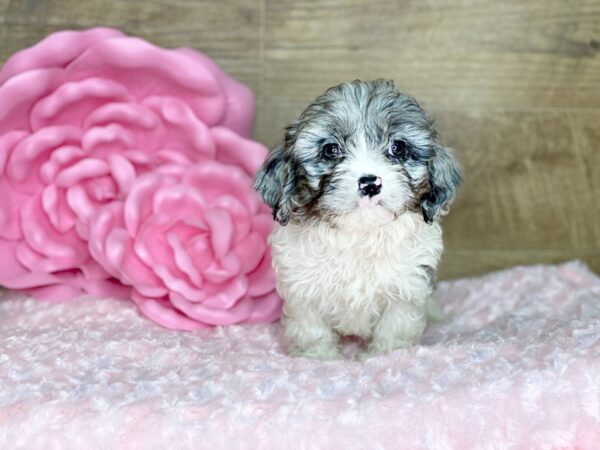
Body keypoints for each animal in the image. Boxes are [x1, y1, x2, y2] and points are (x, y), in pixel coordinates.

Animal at [253, 78, 460, 358]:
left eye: (398, 147)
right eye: (331, 149)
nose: (370, 183)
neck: (359, 233)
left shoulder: (406, 286)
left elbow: (395, 326)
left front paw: (385, 355)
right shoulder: (303, 286)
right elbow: (312, 328)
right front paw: (318, 357)